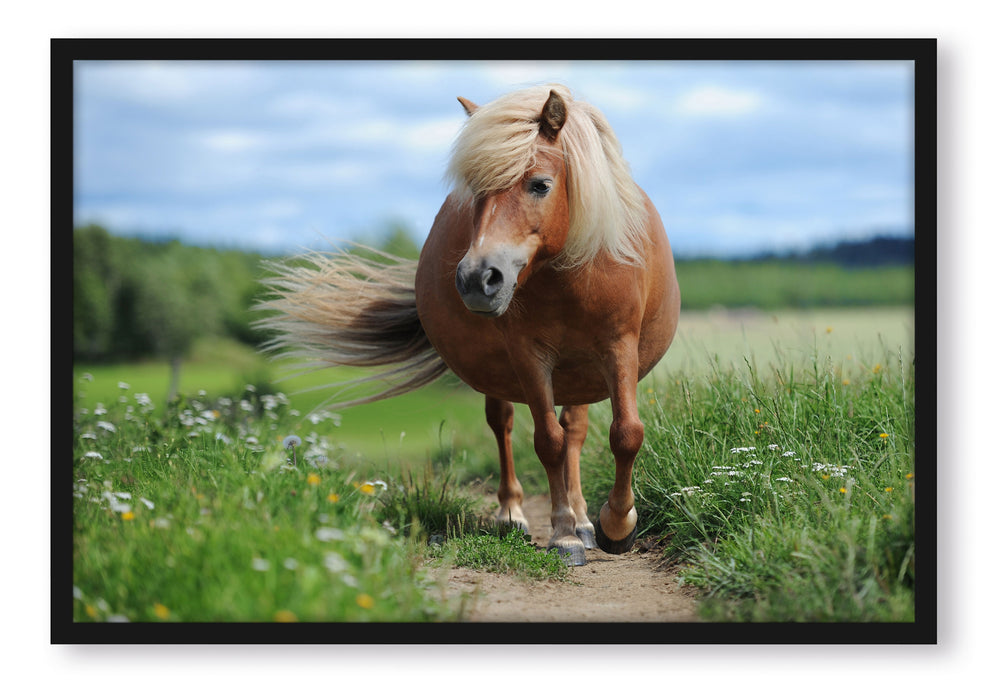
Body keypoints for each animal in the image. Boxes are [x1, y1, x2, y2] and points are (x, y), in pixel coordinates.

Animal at [258, 85, 680, 568]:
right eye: (476, 191)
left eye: (540, 184)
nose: (478, 278)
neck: (569, 274)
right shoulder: (529, 356)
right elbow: (547, 441)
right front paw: (563, 535)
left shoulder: (618, 347)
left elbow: (625, 433)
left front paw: (615, 525)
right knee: (505, 425)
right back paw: (515, 515)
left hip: (581, 373)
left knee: (575, 429)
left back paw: (585, 521)